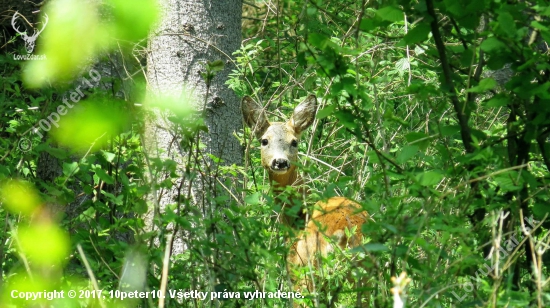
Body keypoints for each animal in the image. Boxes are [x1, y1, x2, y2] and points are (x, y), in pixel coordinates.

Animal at [243, 95, 368, 294]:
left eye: (294, 141)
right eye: (264, 141)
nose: (280, 162)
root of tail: (342, 236)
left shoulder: (292, 264)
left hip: (305, 274)